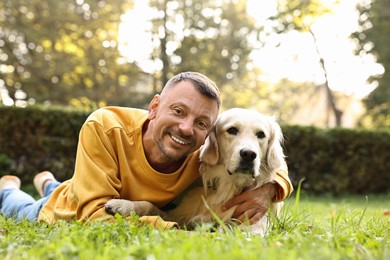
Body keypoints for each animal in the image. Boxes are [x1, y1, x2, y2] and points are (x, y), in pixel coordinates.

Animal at [105, 108, 284, 236]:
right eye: (232, 130)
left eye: (261, 134)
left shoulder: (252, 229)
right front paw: (122, 204)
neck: (227, 187)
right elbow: (151, 207)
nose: (248, 154)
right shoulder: (179, 214)